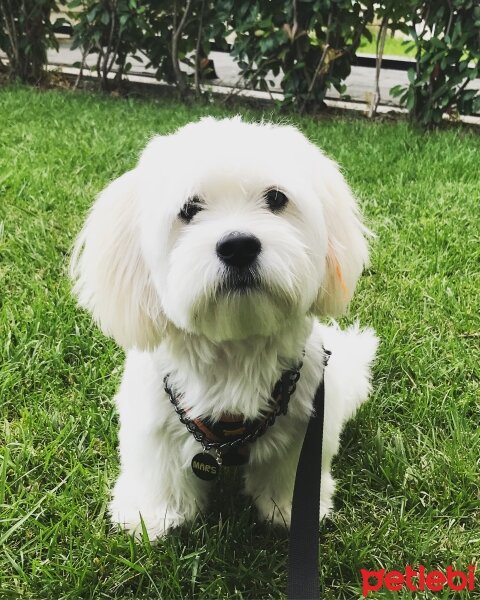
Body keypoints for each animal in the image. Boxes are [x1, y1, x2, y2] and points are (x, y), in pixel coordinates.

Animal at [71, 116, 378, 540]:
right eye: (189, 208)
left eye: (276, 199)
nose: (238, 246)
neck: (235, 348)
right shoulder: (153, 417)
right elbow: (158, 469)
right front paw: (152, 514)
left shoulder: (306, 421)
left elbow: (288, 473)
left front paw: (287, 510)